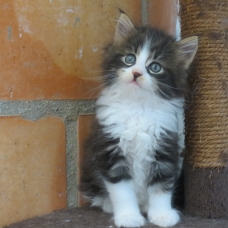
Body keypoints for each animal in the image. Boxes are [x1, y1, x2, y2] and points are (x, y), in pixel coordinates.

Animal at [80, 12, 198, 228]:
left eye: (155, 67)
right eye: (129, 59)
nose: (136, 73)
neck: (137, 107)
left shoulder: (164, 147)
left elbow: (161, 186)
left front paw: (162, 214)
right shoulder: (111, 150)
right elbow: (122, 191)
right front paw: (128, 216)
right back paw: (109, 204)